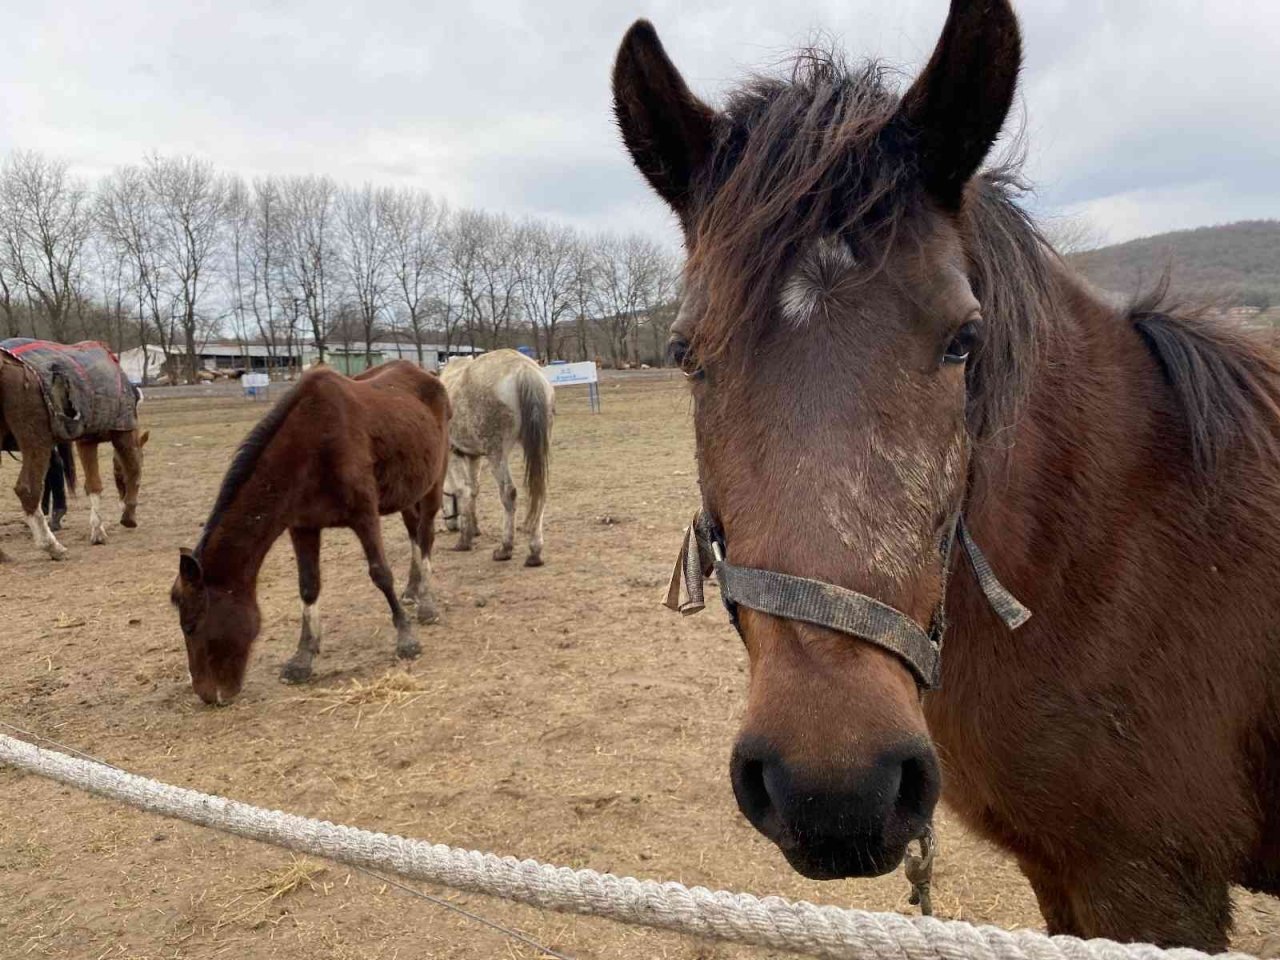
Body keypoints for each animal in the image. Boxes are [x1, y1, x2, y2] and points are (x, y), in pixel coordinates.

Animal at [0, 340, 148, 560]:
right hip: (36, 440)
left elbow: (94, 485)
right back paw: (52, 546)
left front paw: (98, 532)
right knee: (28, 489)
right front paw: (128, 516)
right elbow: (133, 470)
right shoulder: (123, 432)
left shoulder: (86, 441)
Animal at [170, 360, 450, 706]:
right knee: (413, 532)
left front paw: (406, 638)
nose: (208, 694)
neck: (311, 445)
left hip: (434, 481)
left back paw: (426, 601)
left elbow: (381, 574)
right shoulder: (303, 526)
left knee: (425, 536)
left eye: (191, 625)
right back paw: (411, 589)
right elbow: (308, 586)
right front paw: (302, 658)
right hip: (407, 489)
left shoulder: (364, 516)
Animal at [611, 0, 1280, 952]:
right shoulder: (1065, 878)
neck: (1128, 546)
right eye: (685, 355)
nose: (834, 792)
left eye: (964, 339)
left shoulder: (1153, 886)